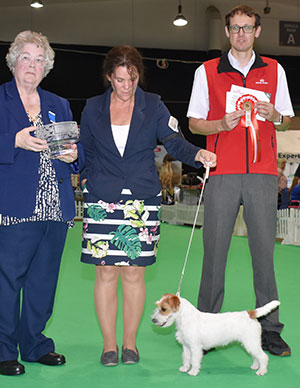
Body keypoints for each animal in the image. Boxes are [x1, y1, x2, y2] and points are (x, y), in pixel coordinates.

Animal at [152, 294, 282, 376]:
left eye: (164, 309)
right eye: (157, 306)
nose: (153, 320)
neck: (185, 318)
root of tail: (250, 314)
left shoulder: (195, 347)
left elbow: (194, 360)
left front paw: (193, 372)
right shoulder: (186, 346)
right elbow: (186, 358)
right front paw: (185, 368)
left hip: (251, 343)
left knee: (263, 357)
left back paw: (262, 371)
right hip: (250, 344)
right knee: (256, 356)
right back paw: (255, 366)